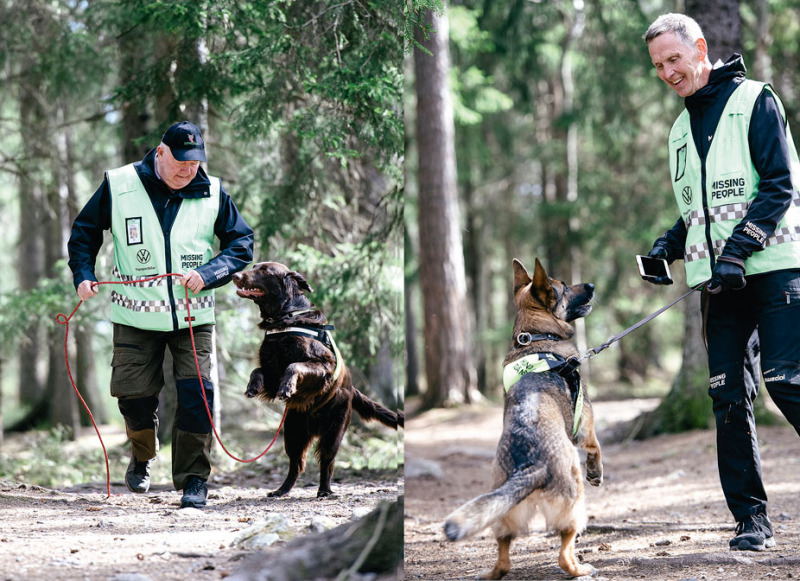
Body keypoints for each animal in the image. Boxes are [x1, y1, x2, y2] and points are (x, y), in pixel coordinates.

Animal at [234, 260, 404, 496]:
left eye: (265, 270)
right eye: (254, 266)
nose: (235, 276)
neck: (286, 317)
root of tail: (353, 389)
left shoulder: (324, 365)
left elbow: (294, 366)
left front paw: (287, 388)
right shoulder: (272, 370)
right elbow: (257, 370)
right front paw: (253, 386)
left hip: (333, 432)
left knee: (327, 462)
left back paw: (324, 490)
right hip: (293, 431)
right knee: (296, 464)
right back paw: (281, 490)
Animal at [440, 260, 604, 580]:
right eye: (564, 286)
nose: (591, 285)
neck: (536, 336)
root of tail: (531, 463)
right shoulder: (585, 426)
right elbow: (596, 448)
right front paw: (596, 471)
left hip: (503, 514)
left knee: (503, 558)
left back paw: (490, 573)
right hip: (574, 504)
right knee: (564, 553)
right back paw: (581, 569)